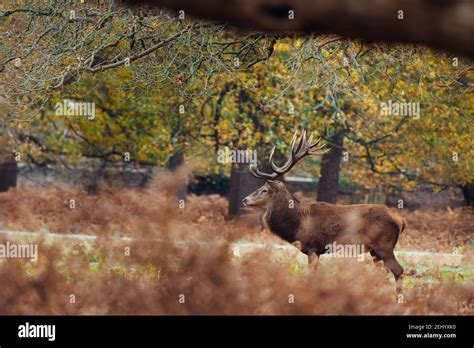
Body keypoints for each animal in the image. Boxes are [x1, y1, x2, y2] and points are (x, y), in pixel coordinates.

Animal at [243, 130, 406, 288]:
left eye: (264, 190)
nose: (245, 199)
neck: (298, 224)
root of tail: (400, 220)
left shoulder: (313, 247)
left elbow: (312, 276)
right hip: (375, 251)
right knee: (383, 274)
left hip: (384, 246)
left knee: (398, 270)